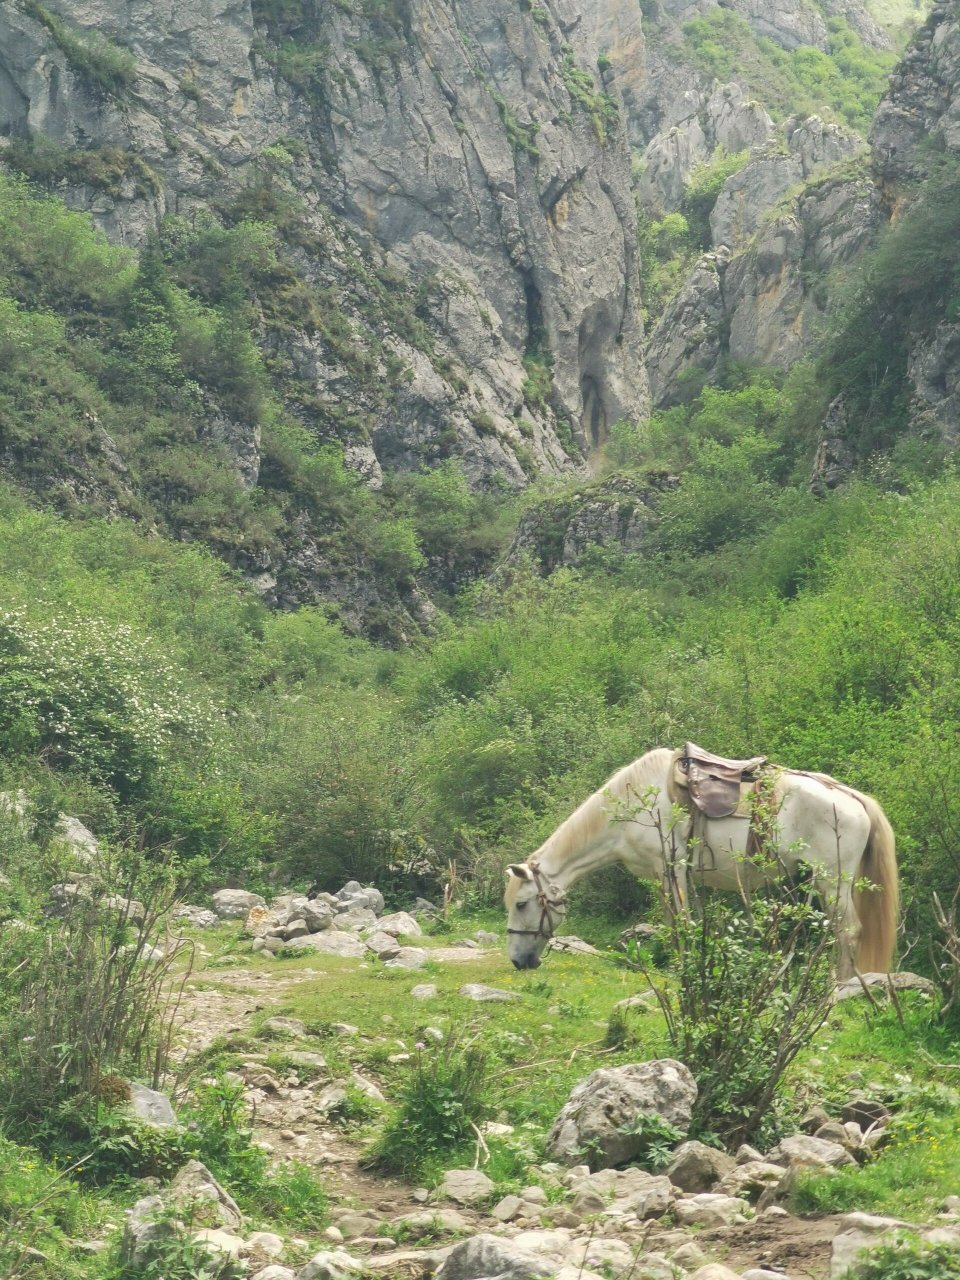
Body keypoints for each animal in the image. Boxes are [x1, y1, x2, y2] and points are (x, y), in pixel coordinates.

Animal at [506, 747, 901, 972]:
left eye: (522, 904)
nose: (517, 961)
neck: (635, 804)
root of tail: (852, 798)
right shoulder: (664, 877)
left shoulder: (672, 870)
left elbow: (680, 925)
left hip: (833, 882)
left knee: (848, 931)